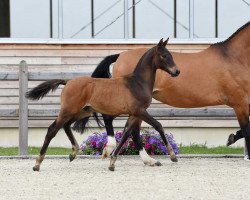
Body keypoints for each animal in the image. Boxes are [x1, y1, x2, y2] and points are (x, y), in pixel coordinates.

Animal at [26, 38, 180, 171]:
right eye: (164, 55)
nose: (177, 71)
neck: (137, 83)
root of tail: (67, 82)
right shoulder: (140, 111)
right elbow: (158, 126)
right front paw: (173, 156)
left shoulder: (134, 114)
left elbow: (126, 134)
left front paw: (112, 162)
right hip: (68, 110)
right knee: (52, 130)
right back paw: (37, 163)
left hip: (82, 111)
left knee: (66, 125)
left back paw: (73, 153)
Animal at [74, 21, 250, 162]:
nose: (176, 71)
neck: (234, 58)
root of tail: (120, 55)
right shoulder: (239, 103)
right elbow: (247, 129)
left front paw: (233, 139)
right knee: (118, 122)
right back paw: (115, 149)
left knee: (130, 128)